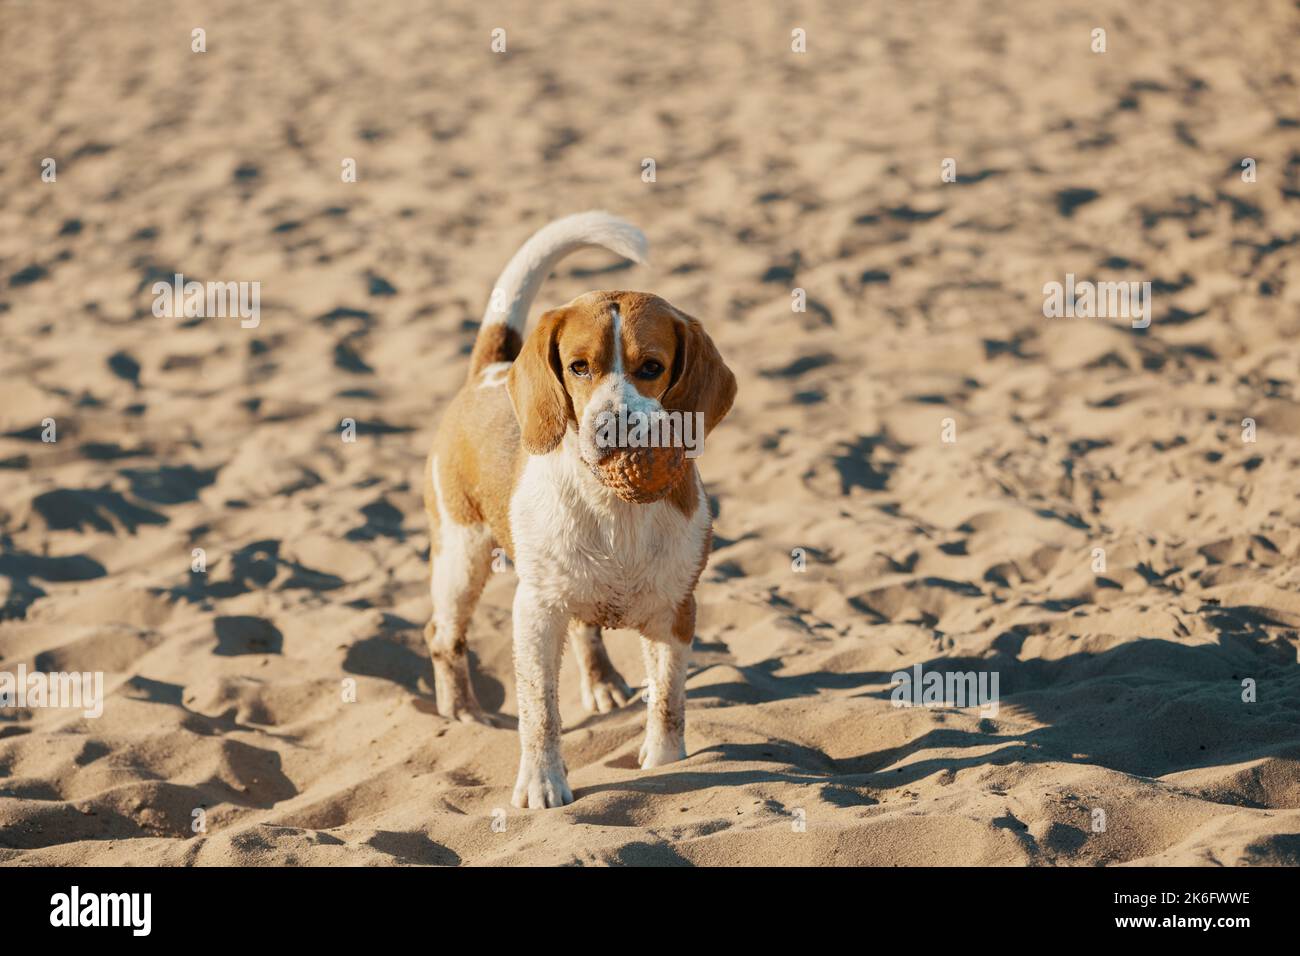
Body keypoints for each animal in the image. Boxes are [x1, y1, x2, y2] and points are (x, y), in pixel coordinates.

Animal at [423, 213, 738, 811]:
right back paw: (463, 712)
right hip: (461, 555)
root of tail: (490, 371)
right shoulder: (535, 613)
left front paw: (665, 764)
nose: (612, 426)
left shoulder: (676, 611)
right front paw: (541, 783)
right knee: (443, 636)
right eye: (578, 367)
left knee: (587, 630)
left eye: (652, 367)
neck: (614, 507)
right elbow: (540, 712)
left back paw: (601, 682)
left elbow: (669, 699)